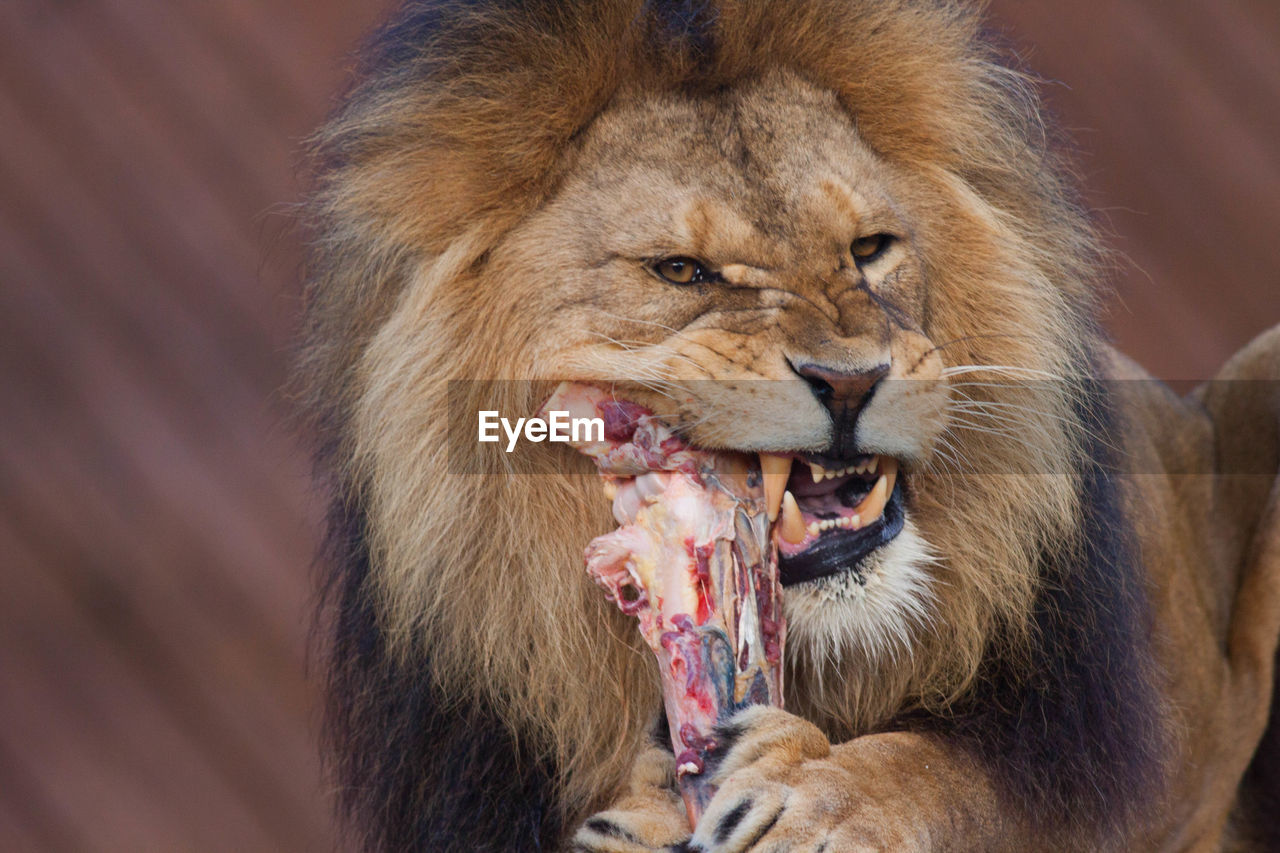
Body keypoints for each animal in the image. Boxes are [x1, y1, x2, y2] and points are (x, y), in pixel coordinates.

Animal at [296, 1, 1280, 850]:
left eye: (870, 249)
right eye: (681, 270)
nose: (849, 383)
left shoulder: (1122, 761)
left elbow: (955, 778)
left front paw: (817, 796)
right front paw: (638, 815)